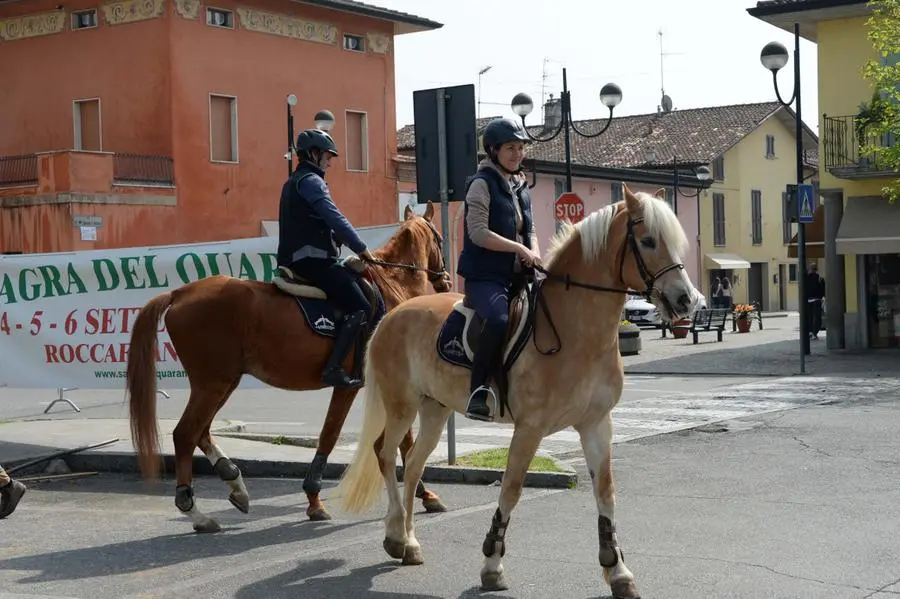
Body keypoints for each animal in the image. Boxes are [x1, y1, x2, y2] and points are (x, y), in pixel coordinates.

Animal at [125, 203, 458, 536]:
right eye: (440, 239)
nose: (446, 281)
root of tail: (180, 293)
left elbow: (401, 441)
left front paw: (424, 494)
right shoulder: (351, 386)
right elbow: (334, 436)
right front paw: (314, 499)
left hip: (223, 382)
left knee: (201, 433)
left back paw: (234, 481)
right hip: (212, 384)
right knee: (185, 434)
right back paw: (195, 511)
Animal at [334, 189, 700, 599]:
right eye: (649, 241)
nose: (687, 300)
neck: (576, 331)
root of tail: (391, 315)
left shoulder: (596, 423)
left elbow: (606, 491)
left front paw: (617, 570)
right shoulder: (529, 428)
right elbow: (511, 489)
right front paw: (492, 565)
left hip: (435, 409)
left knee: (412, 466)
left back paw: (409, 543)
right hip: (401, 406)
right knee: (385, 455)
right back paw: (396, 537)